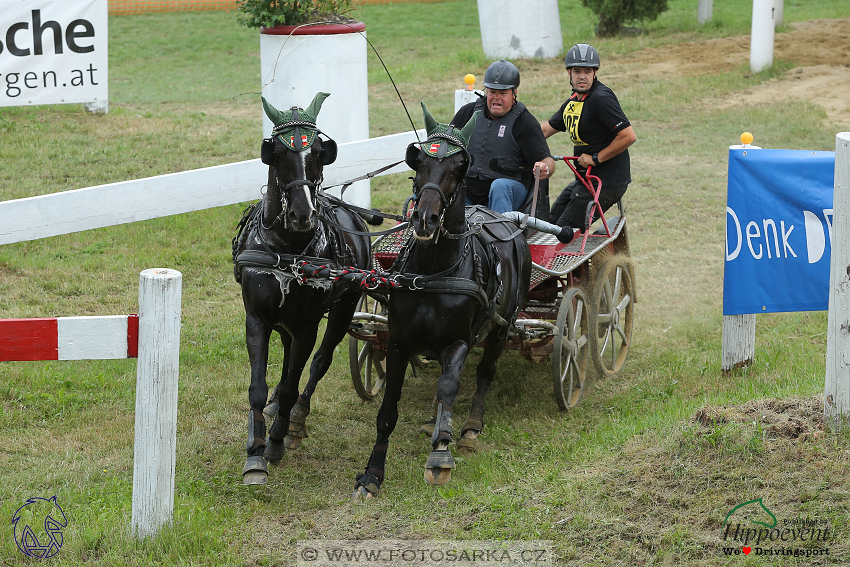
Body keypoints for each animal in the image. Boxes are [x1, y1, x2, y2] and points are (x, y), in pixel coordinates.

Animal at [234, 92, 370, 484]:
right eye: (278, 153)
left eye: (318, 153)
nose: (301, 214)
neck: (287, 248)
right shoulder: (257, 318)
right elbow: (258, 386)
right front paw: (255, 453)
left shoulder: (308, 325)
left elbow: (297, 379)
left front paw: (276, 442)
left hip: (343, 310)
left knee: (318, 363)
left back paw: (295, 417)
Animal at [352, 104, 528, 500]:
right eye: (418, 164)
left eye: (457, 168)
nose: (425, 219)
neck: (433, 271)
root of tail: (501, 219)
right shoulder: (399, 343)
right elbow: (388, 409)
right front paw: (372, 474)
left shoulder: (458, 341)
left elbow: (450, 385)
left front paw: (441, 455)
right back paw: (434, 420)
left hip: (500, 328)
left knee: (482, 374)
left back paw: (469, 428)